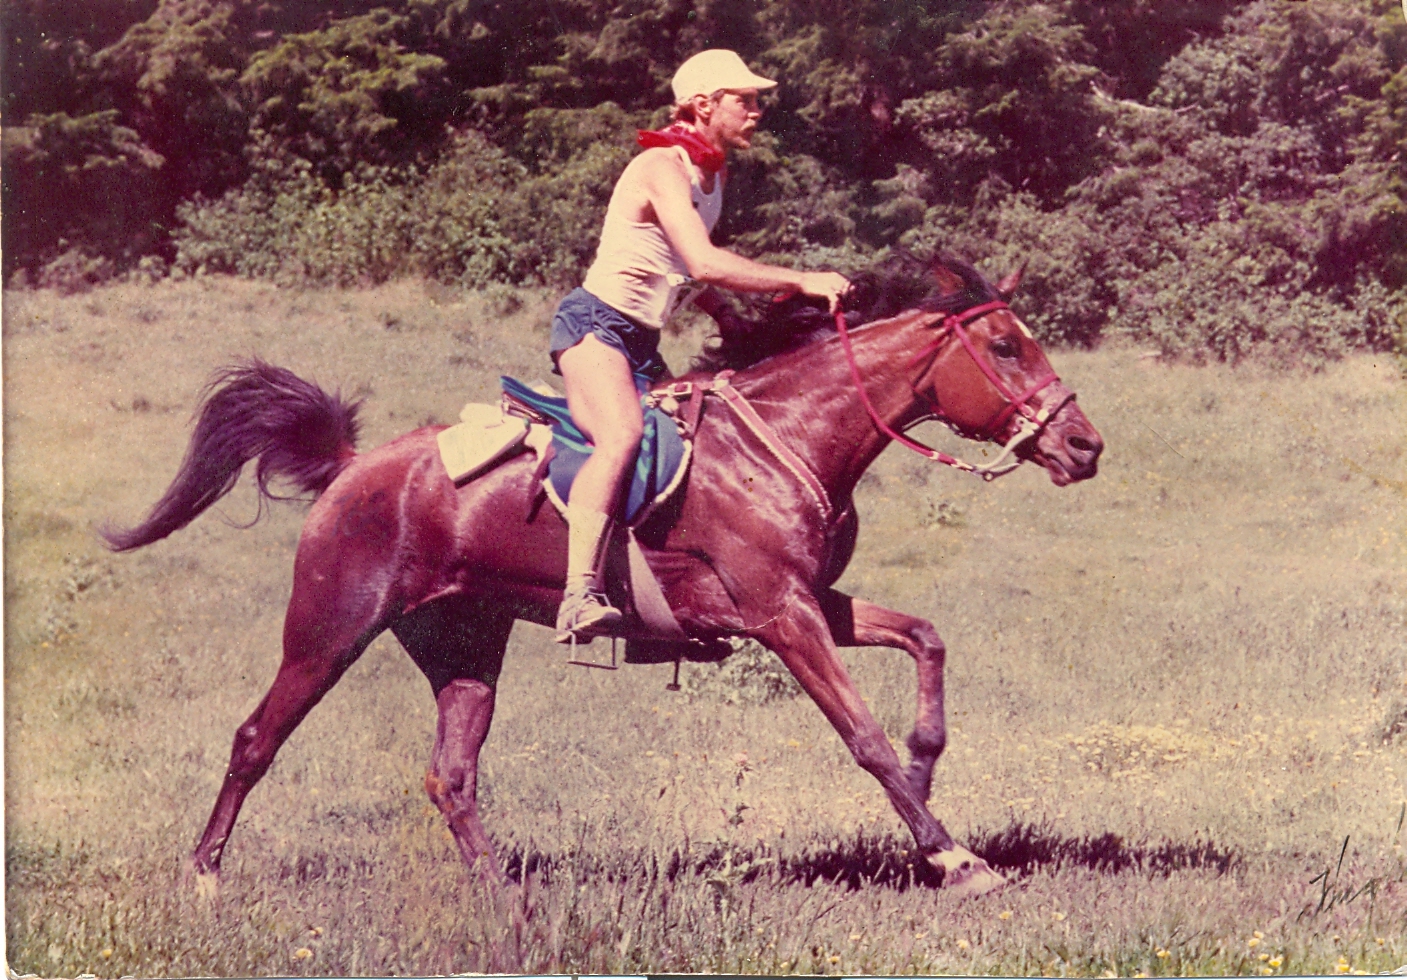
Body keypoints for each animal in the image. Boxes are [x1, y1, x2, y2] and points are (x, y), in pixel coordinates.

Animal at [106, 255, 1097, 899]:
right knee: (255, 739)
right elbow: (863, 737)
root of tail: (353, 469)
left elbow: (925, 644)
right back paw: (203, 874)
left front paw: (927, 789)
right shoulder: (782, 616)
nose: (1084, 446)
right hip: (328, 630)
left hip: (464, 645)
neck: (788, 438)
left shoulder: (812, 602)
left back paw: (501, 891)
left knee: (451, 776)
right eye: (1005, 347)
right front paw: (953, 859)